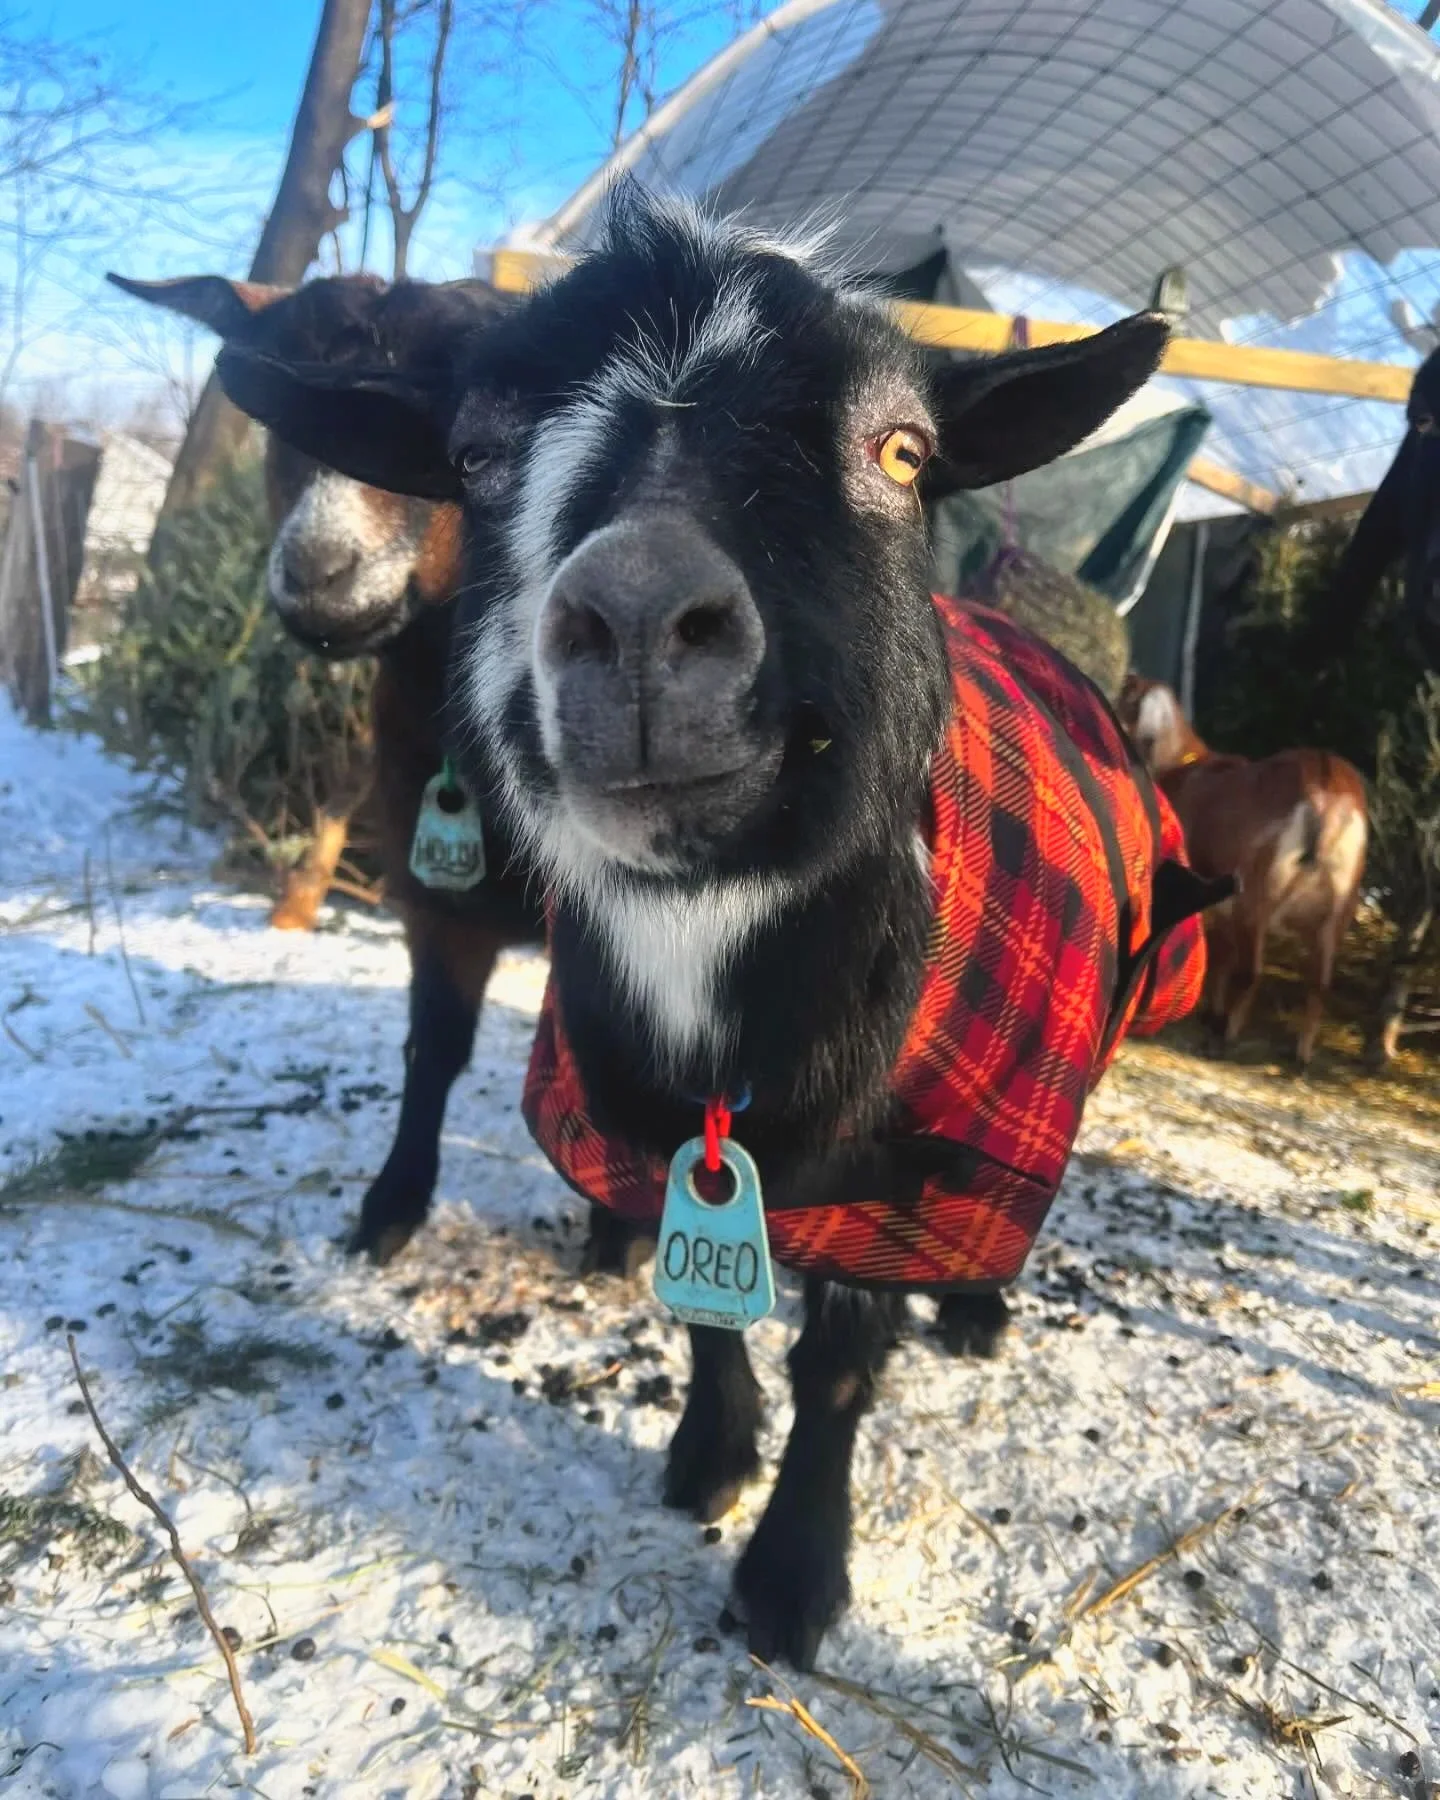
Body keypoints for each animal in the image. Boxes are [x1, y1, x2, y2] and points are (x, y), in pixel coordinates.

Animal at [110, 270, 646, 1275]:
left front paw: (623, 1231)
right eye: (275, 416)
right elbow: (431, 1047)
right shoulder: (429, 891)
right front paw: (390, 1206)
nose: (319, 575)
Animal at [212, 190, 1217, 1668]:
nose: (635, 614)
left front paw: (793, 1579)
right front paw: (707, 1459)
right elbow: (700, 1302)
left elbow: (841, 1359)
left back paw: (979, 1312)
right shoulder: (632, 1115)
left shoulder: (907, 1162)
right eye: (476, 455)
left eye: (902, 449)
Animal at [1118, 675, 1367, 1066]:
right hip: (1335, 914)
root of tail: (1326, 795)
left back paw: (1222, 1040)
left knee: (1251, 973)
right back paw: (1299, 1056)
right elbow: (1220, 960)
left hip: (1256, 896)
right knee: (1319, 984)